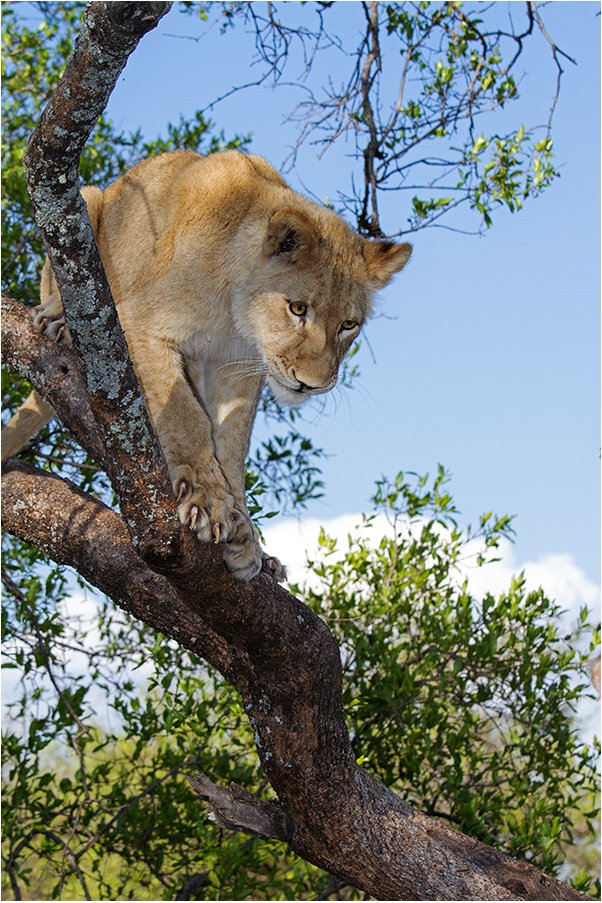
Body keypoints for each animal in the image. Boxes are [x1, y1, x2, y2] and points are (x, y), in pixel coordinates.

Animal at [2, 150, 410, 580]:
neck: (235, 314)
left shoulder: (238, 367)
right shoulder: (136, 323)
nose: (311, 384)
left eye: (349, 325)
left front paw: (247, 538)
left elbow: (231, 445)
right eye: (298, 308)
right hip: (86, 201)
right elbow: (184, 415)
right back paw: (59, 319)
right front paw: (208, 502)